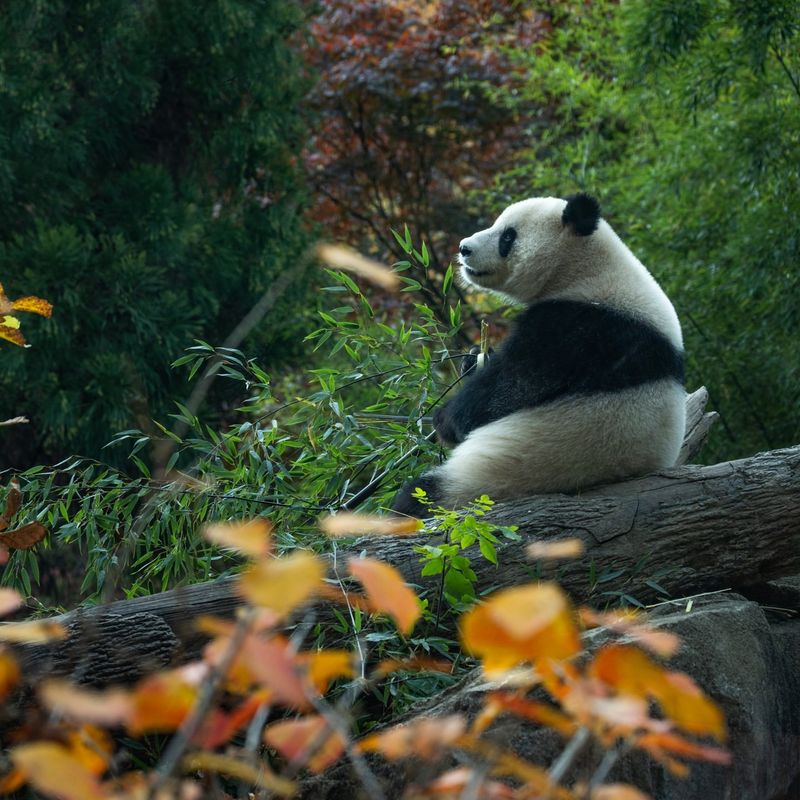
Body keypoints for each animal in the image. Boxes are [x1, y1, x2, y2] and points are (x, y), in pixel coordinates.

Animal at [390, 195, 684, 520]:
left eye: (508, 236)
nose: (464, 248)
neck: (584, 268)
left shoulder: (581, 328)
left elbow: (508, 387)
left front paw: (444, 418)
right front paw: (473, 360)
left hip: (496, 475)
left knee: (421, 496)